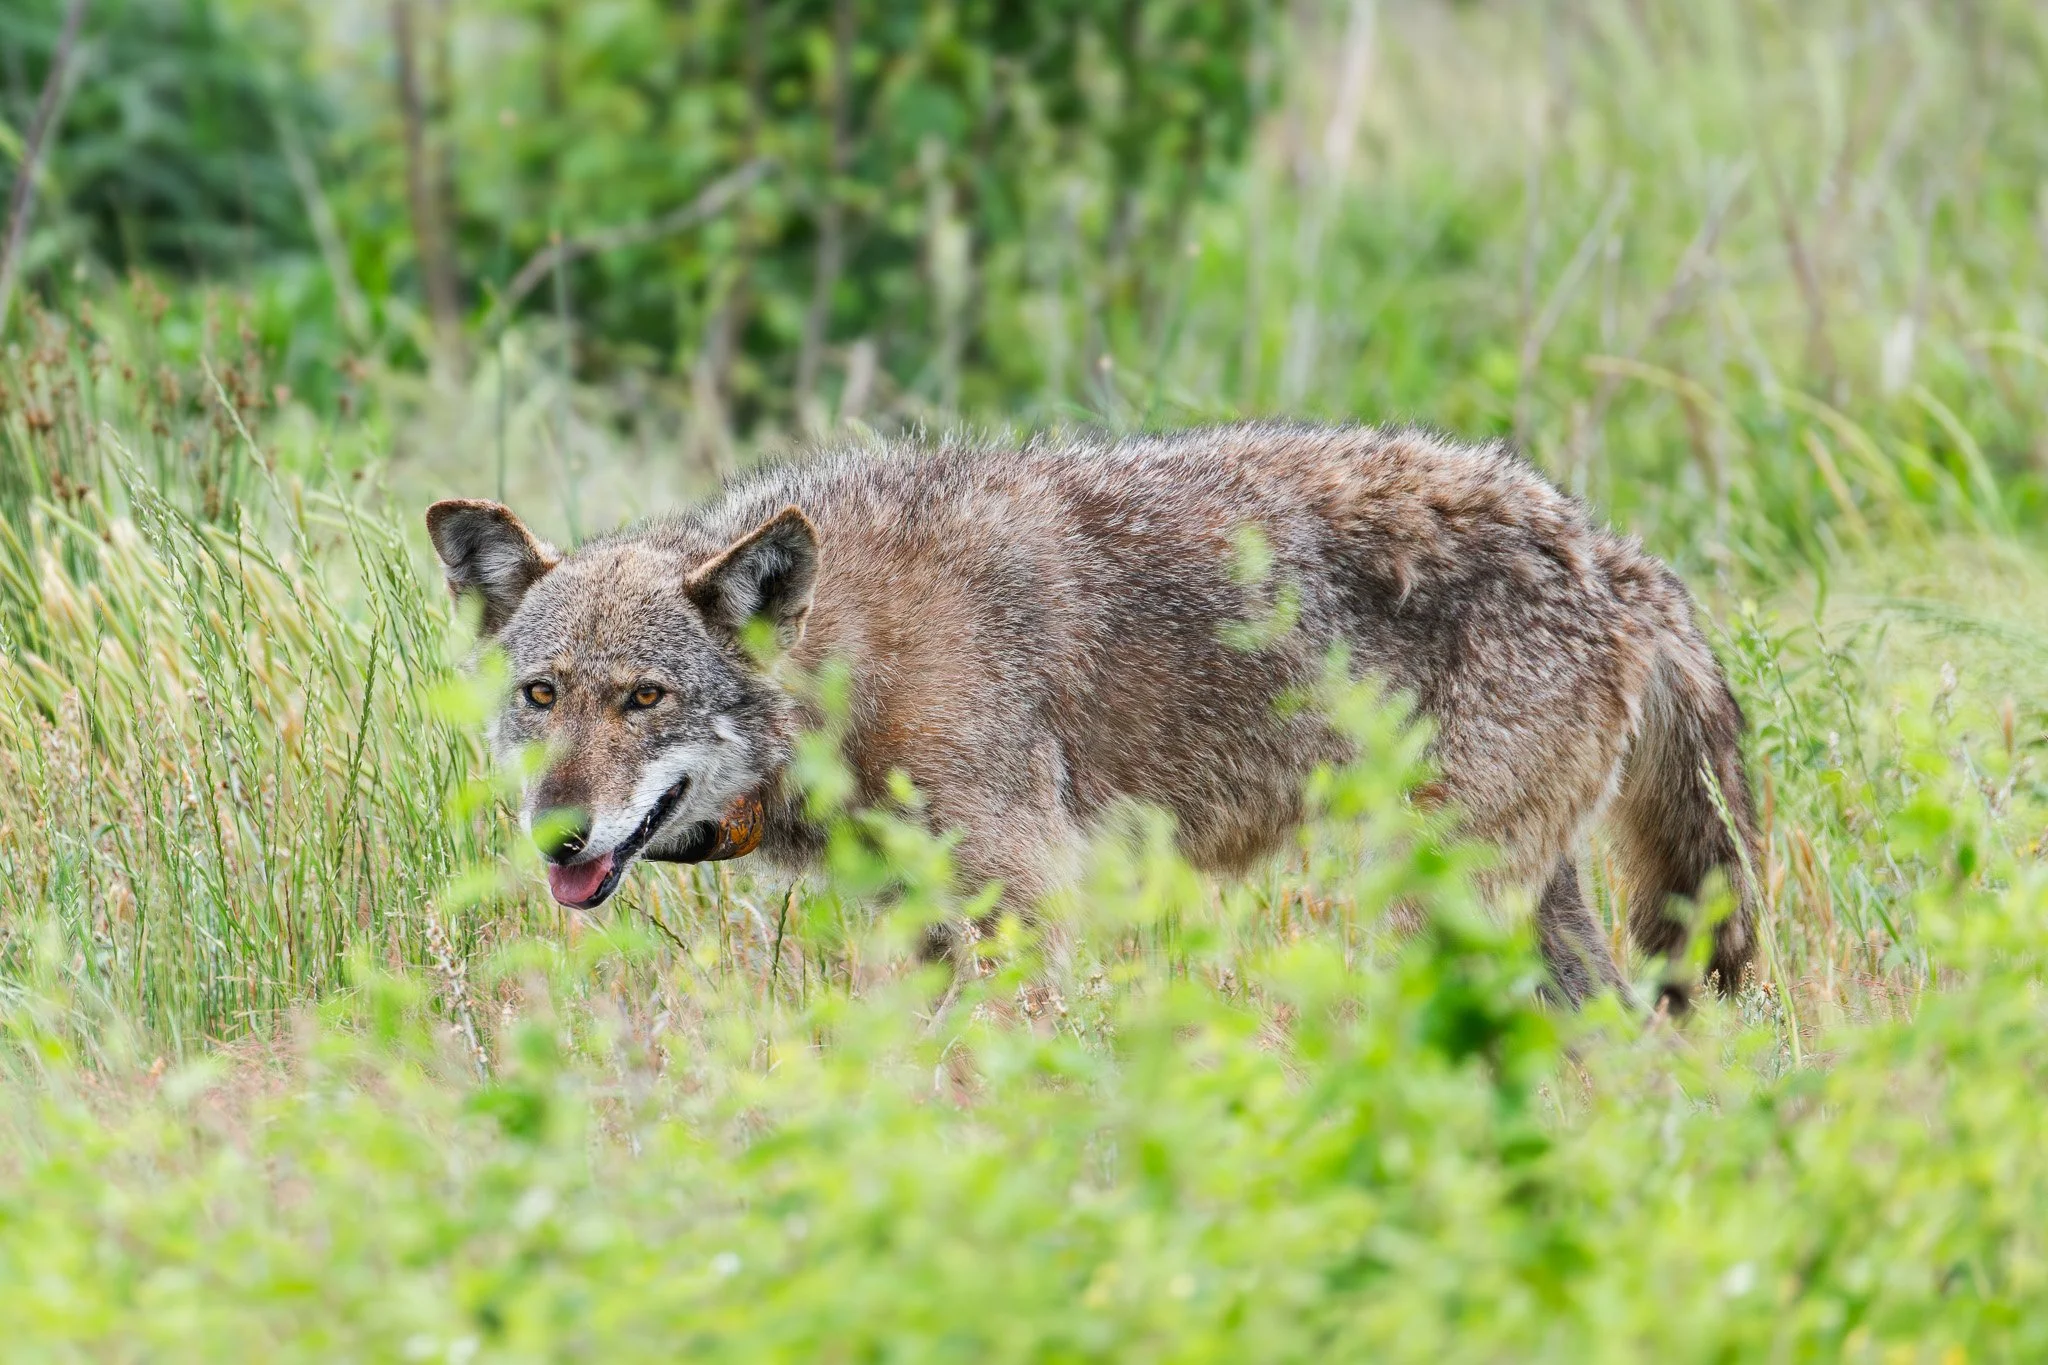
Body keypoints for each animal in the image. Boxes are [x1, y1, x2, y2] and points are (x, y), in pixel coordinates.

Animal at [426, 422, 1760, 1006]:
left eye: (644, 698)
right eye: (542, 696)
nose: (556, 836)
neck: (848, 665)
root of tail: (1615, 555)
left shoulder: (1018, 906)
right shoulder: (926, 922)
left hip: (1432, 892)